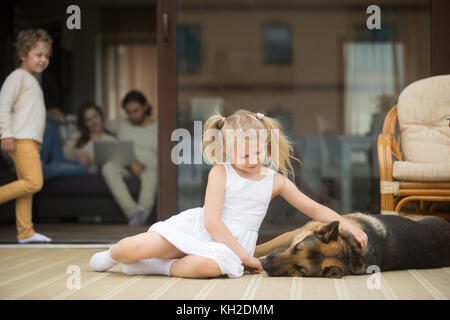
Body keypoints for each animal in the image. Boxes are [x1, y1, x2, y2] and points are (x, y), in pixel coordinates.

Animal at [255, 214, 450, 278]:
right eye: (296, 248)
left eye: (299, 269)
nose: (265, 264)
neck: (350, 250)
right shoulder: (297, 233)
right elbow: (265, 245)